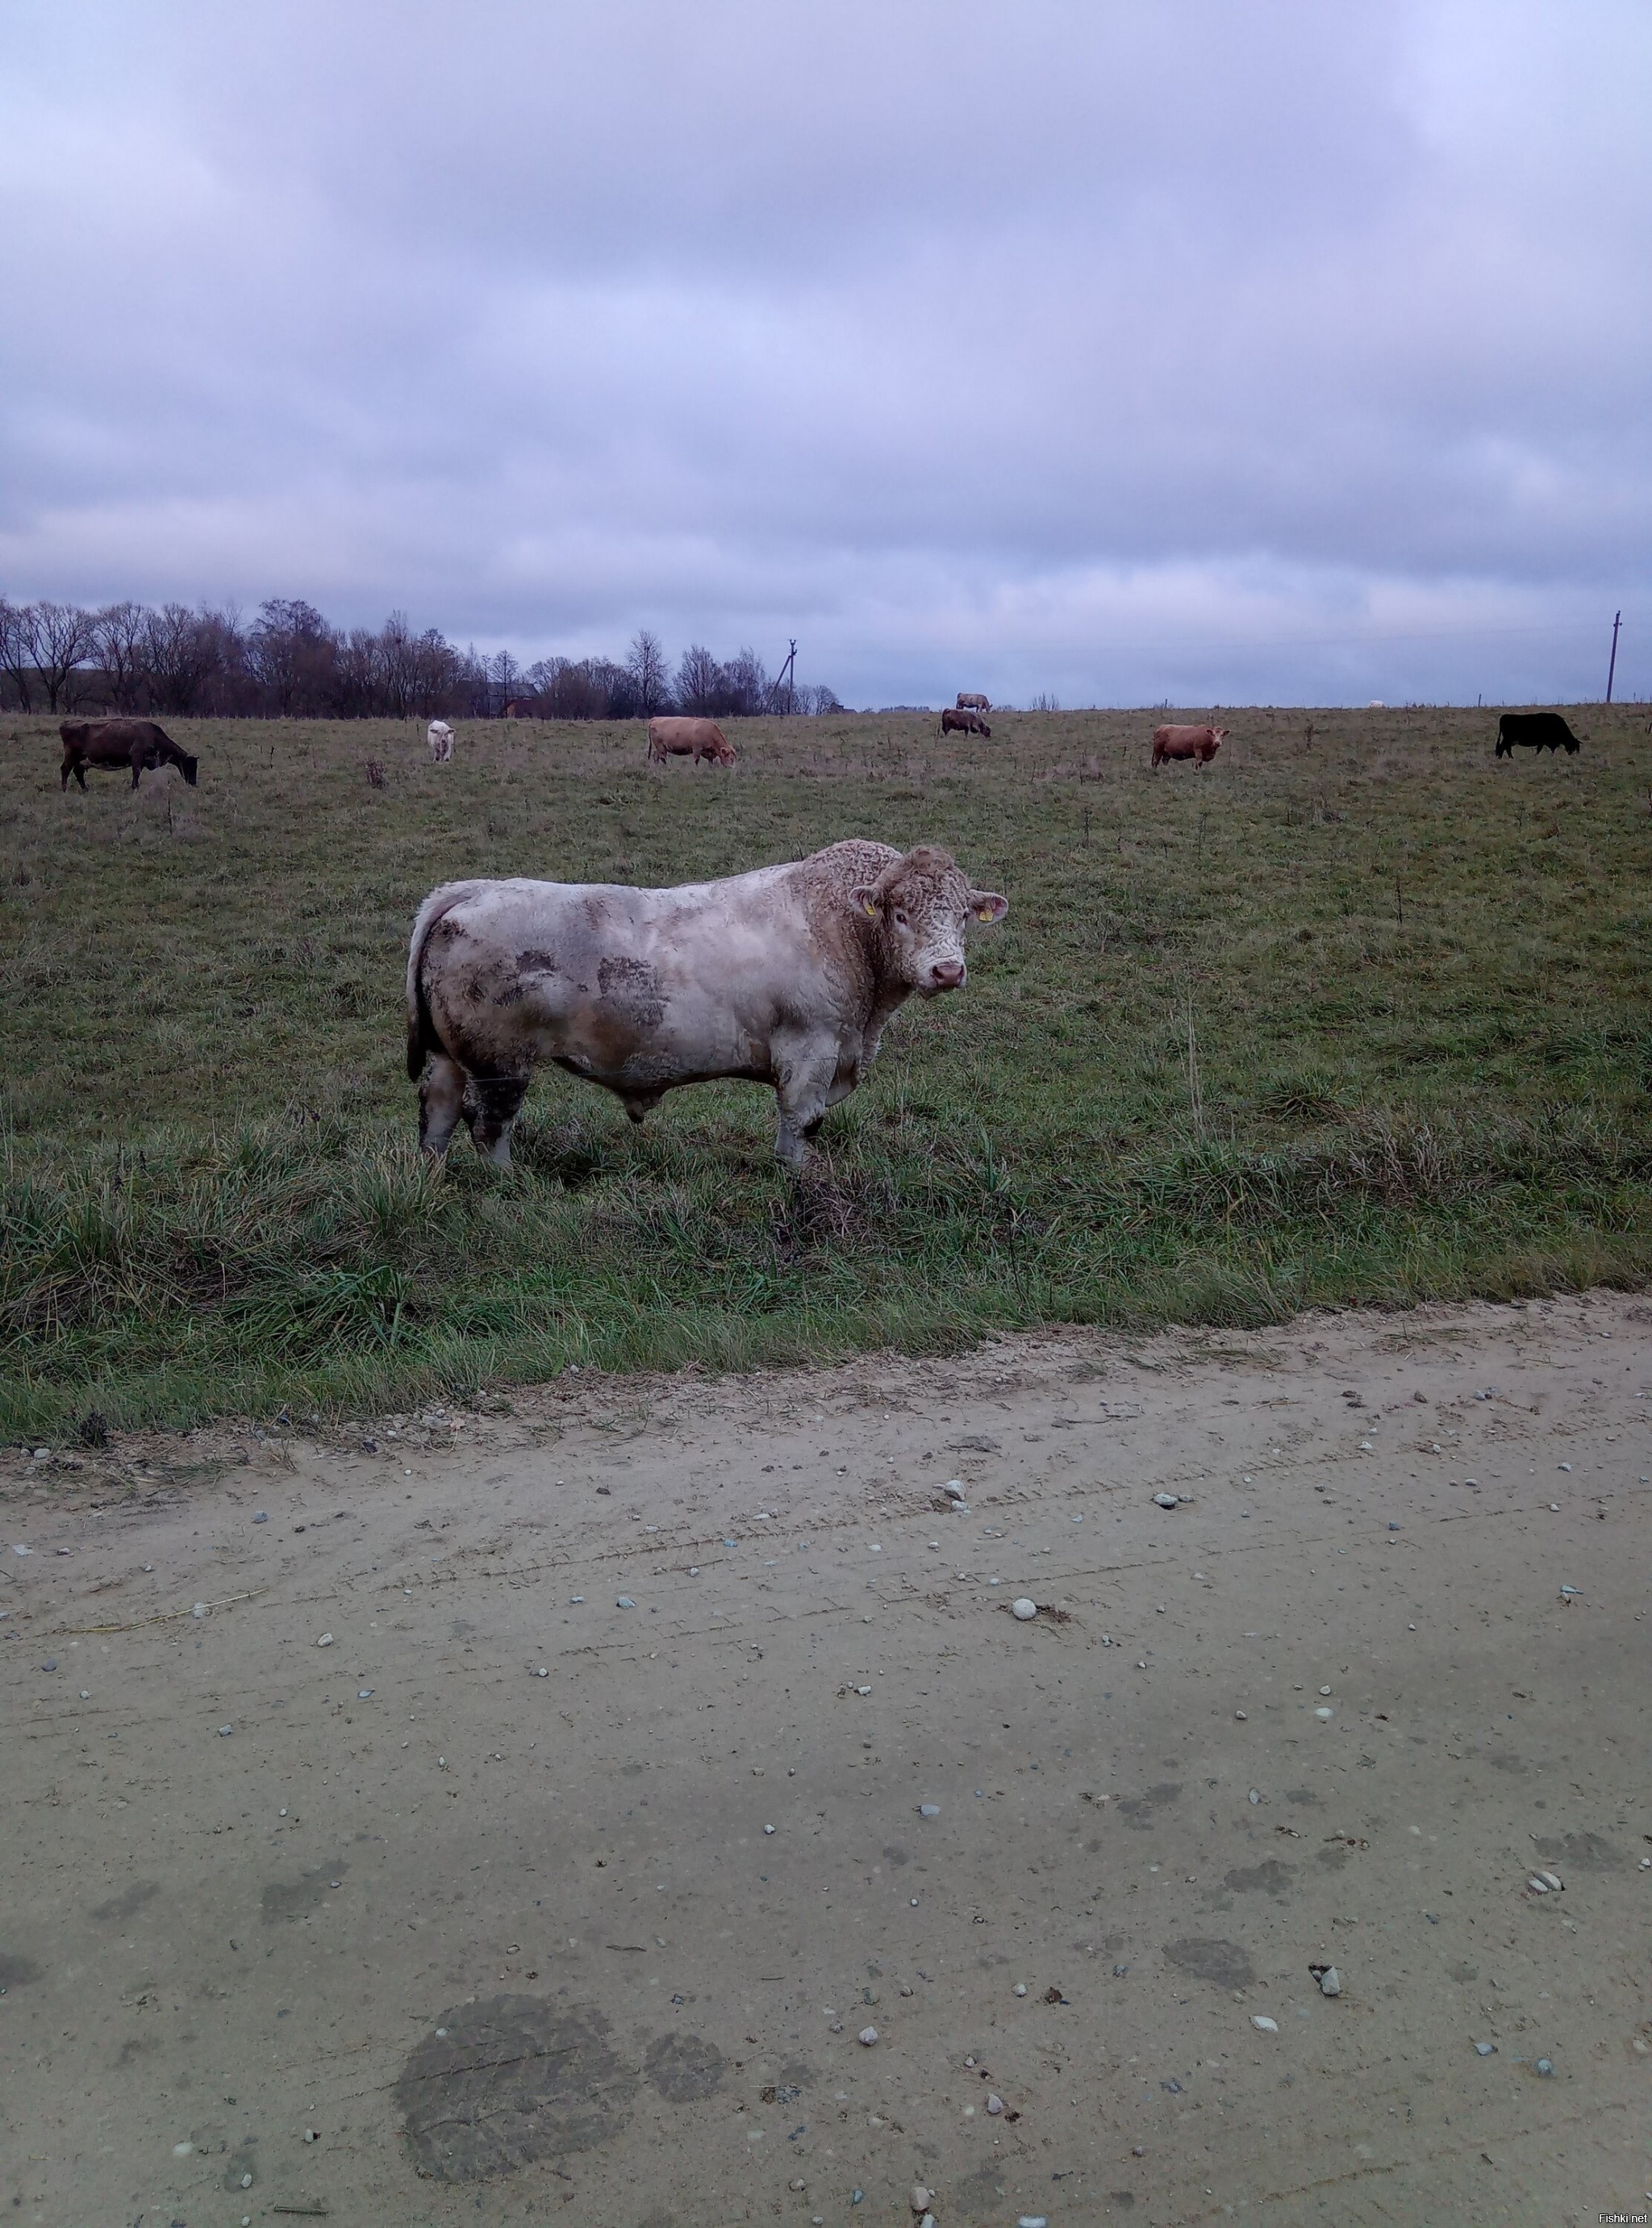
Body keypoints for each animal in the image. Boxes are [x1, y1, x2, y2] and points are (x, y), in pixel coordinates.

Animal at [59, 717, 198, 797]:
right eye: (191, 766)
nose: (194, 783)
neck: (152, 735)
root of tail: (66, 723)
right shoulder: (137, 757)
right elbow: (136, 773)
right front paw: (134, 788)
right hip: (71, 756)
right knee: (65, 770)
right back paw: (64, 790)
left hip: (80, 760)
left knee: (78, 772)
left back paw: (85, 789)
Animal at [406, 842, 1012, 1176]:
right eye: (901, 914)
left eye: (961, 914)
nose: (947, 971)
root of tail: (472, 891)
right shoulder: (811, 1048)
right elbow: (803, 1121)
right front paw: (800, 1178)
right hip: (500, 1062)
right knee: (488, 1126)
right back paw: (510, 1184)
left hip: (451, 1056)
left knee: (438, 1114)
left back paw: (432, 1179)